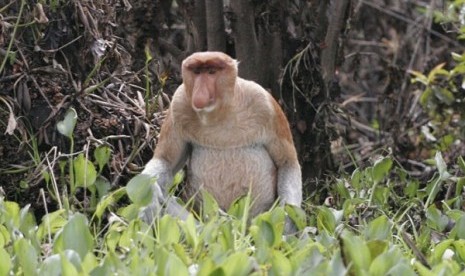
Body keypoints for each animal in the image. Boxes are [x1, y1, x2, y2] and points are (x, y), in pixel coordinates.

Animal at [140, 51, 300, 231]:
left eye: (211, 72)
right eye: (197, 72)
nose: (200, 92)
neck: (219, 114)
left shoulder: (265, 104)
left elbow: (287, 163)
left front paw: (287, 222)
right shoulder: (179, 104)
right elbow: (165, 161)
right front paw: (149, 195)